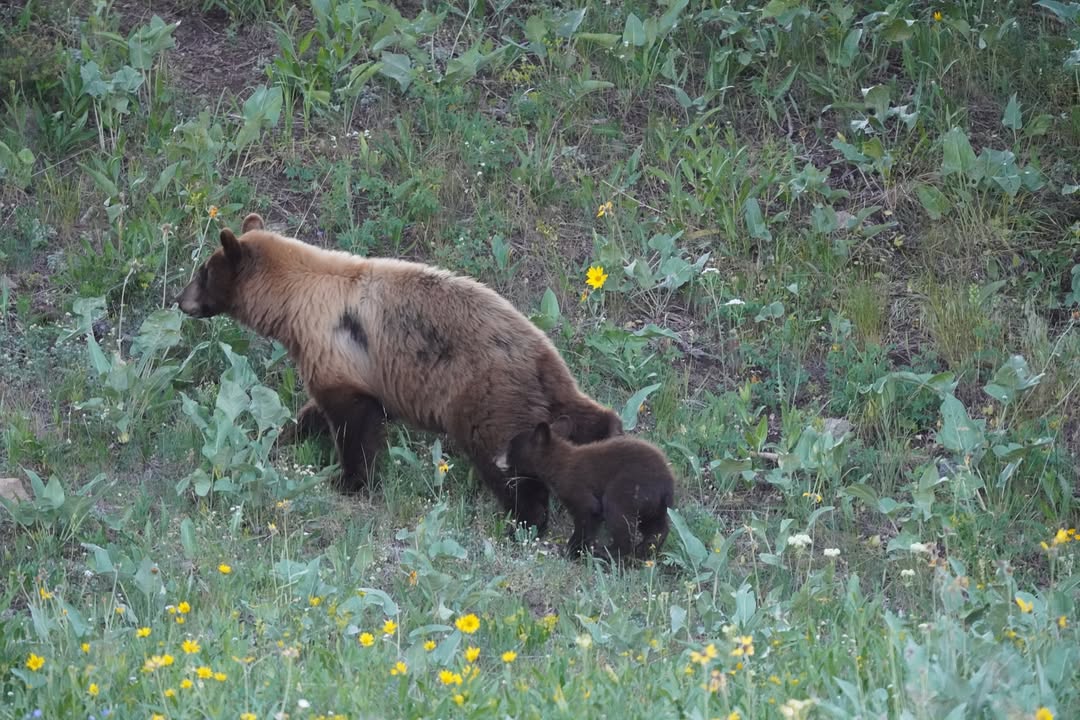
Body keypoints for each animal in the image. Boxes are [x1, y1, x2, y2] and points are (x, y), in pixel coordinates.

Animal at [174, 213, 622, 532]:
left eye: (203, 271)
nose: (180, 300)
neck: (297, 299)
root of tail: (537, 355)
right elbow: (319, 411)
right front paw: (284, 438)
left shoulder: (337, 352)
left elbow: (353, 423)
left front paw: (350, 482)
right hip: (553, 386)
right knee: (586, 415)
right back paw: (611, 436)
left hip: (486, 397)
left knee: (506, 461)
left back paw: (525, 520)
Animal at [498, 417, 674, 562]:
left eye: (510, 446)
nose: (496, 459)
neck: (557, 463)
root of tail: (667, 485)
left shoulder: (574, 485)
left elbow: (589, 511)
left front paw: (571, 550)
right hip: (653, 504)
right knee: (657, 526)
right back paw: (646, 549)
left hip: (630, 488)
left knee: (618, 514)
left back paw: (606, 552)